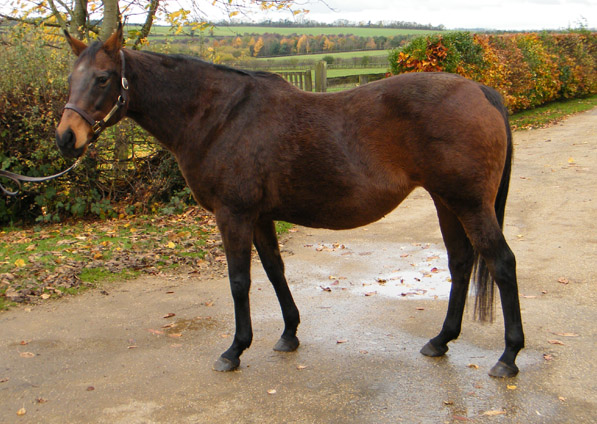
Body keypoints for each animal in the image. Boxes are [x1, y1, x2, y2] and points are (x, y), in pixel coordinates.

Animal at [54, 25, 520, 378]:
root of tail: (481, 90)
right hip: (446, 201)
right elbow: (275, 271)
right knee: (461, 262)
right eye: (71, 78)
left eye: (102, 78)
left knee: (501, 263)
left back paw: (508, 357)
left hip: (470, 204)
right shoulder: (259, 217)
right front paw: (289, 334)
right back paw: (440, 341)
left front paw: (234, 350)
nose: (65, 138)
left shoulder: (234, 215)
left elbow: (239, 280)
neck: (218, 117)